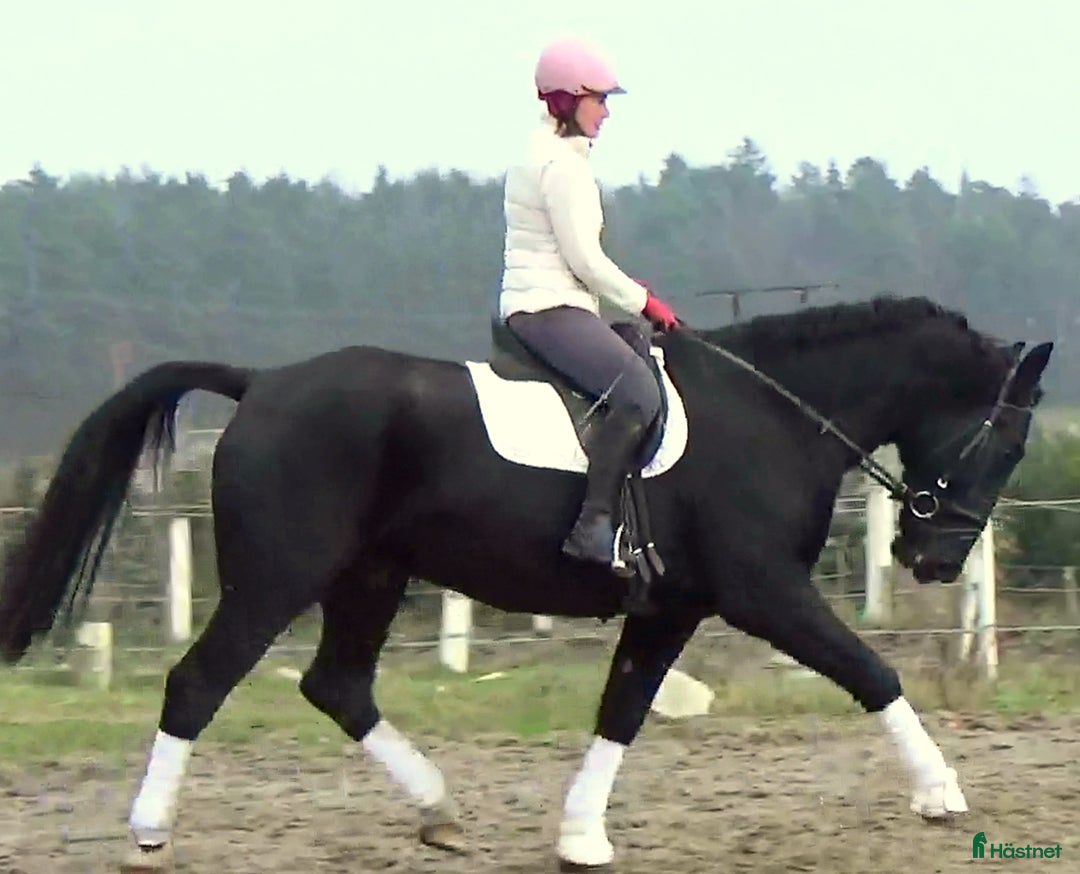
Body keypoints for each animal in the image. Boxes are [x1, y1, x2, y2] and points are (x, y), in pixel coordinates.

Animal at [0, 295, 1053, 872]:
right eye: (1006, 441)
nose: (935, 561)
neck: (775, 415)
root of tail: (261, 384)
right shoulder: (763, 592)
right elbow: (872, 673)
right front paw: (943, 795)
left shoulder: (673, 606)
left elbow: (622, 711)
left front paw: (580, 838)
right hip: (278, 577)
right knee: (199, 684)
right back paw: (148, 832)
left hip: (371, 575)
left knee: (337, 685)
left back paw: (438, 810)